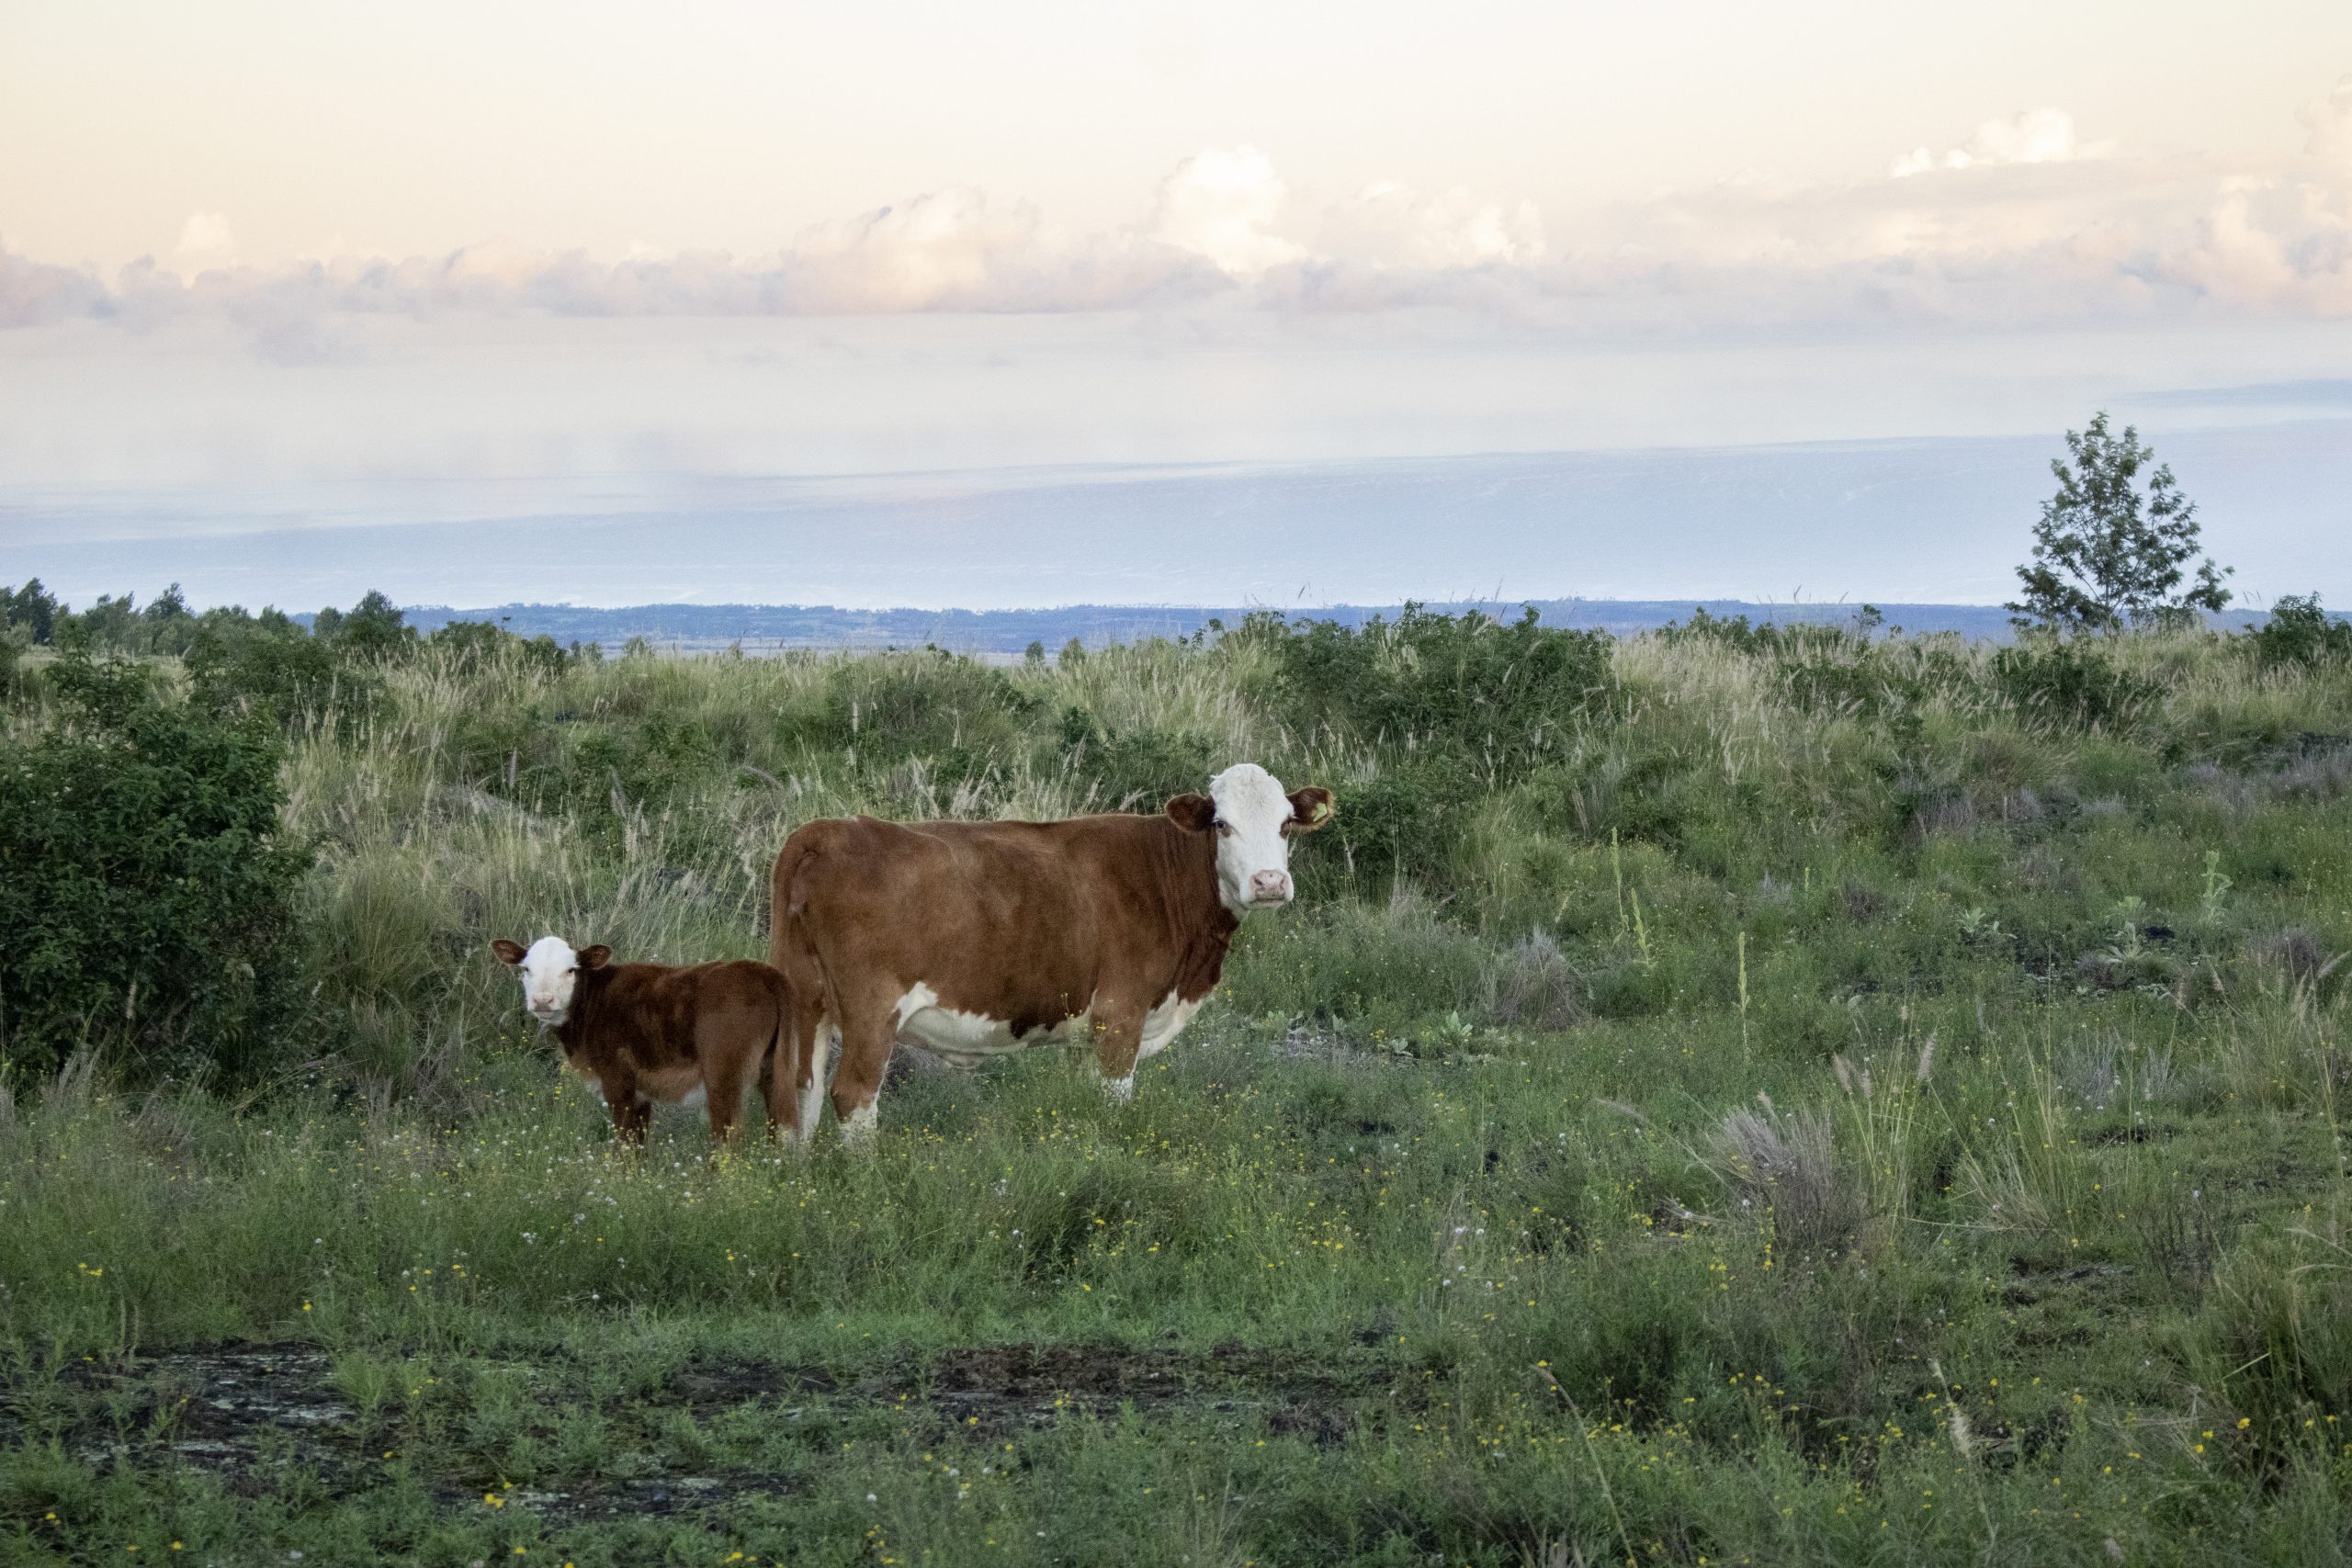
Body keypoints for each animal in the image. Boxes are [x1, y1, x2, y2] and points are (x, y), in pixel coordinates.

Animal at [486, 940, 799, 1146]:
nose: (542, 1000)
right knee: (778, 1127)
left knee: (728, 1137)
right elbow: (638, 1143)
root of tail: (761, 972)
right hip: (774, 1070)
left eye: (571, 970)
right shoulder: (641, 1091)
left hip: (723, 1074)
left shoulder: (617, 1080)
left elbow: (624, 1144)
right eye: (526, 969)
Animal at [766, 766, 1336, 1146]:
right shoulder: (1120, 1015)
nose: (1269, 882)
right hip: (871, 1010)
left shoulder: (1086, 1033)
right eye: (1222, 824)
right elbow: (1113, 1105)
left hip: (805, 998)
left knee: (798, 1093)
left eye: (1286, 824)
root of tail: (825, 830)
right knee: (852, 1095)